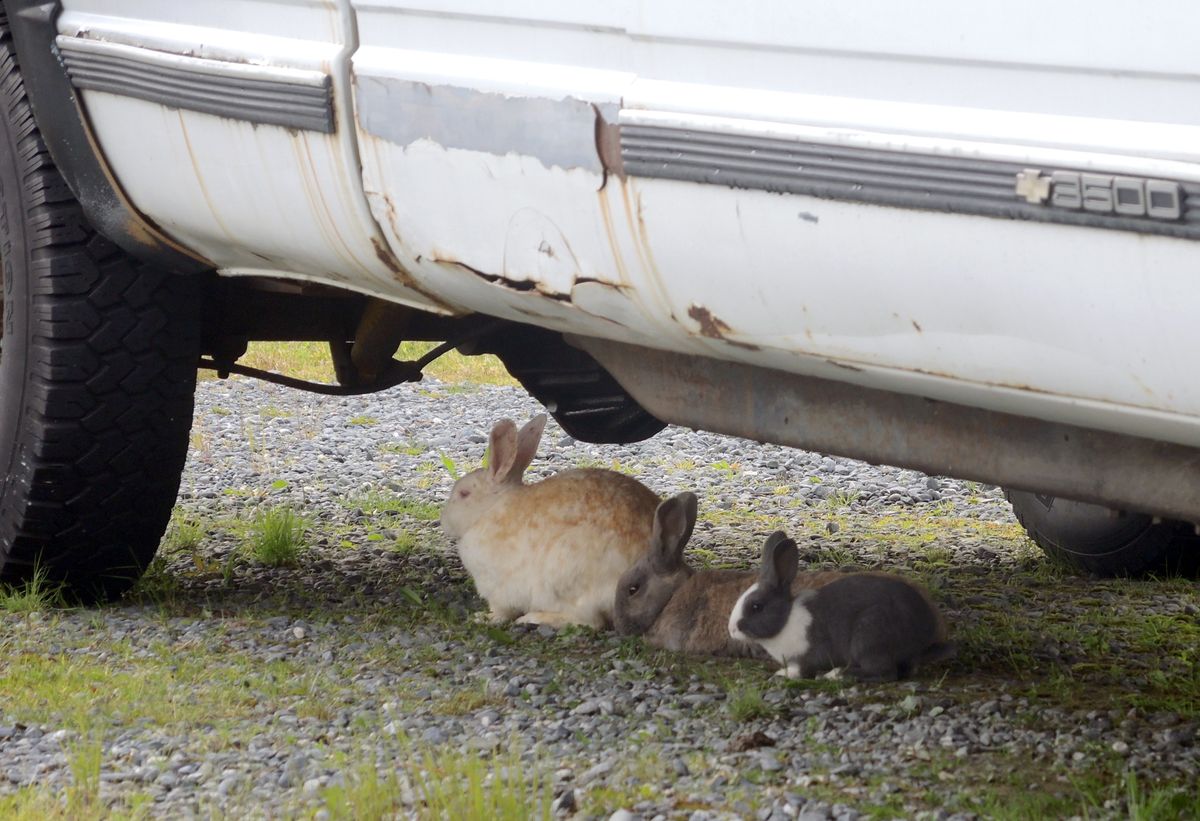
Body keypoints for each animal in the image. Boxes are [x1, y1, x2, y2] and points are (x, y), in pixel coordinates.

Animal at [440, 413, 660, 630]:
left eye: (464, 494)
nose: (444, 521)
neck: (490, 508)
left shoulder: (498, 589)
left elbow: (501, 612)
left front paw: (483, 618)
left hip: (566, 576)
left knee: (590, 621)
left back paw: (533, 618)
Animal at [729, 531, 956, 681]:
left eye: (756, 606)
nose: (732, 630)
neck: (787, 620)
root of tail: (920, 645)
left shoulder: (813, 653)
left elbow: (804, 669)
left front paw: (784, 674)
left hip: (869, 634)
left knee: (884, 673)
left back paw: (836, 675)